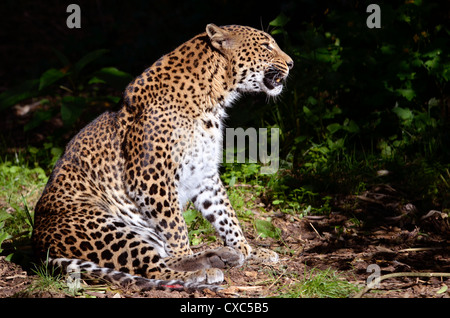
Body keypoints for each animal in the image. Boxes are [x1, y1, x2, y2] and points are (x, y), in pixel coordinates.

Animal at [31, 23, 292, 292]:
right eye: (266, 46)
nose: (291, 63)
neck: (215, 98)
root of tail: (39, 249)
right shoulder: (150, 178)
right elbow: (176, 227)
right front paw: (193, 254)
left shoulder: (205, 174)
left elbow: (225, 215)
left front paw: (247, 250)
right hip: (105, 226)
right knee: (153, 267)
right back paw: (202, 272)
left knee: (160, 258)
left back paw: (221, 256)